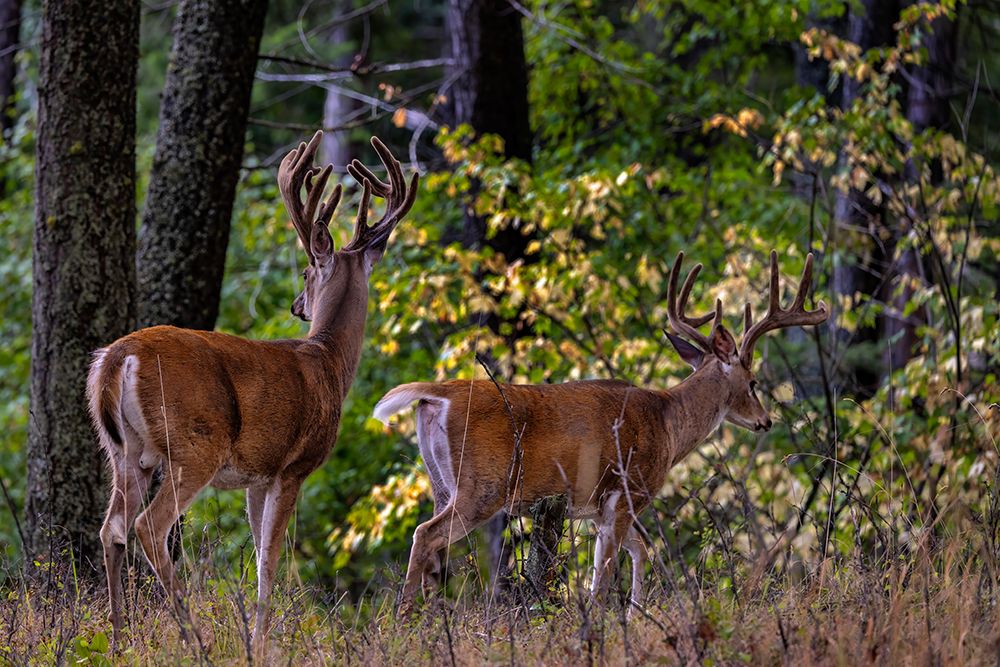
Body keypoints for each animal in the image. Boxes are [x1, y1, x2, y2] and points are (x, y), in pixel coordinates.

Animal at [86, 130, 418, 651]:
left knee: (112, 528)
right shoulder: (292, 467)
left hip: (125, 450)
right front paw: (259, 643)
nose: (298, 305)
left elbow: (260, 553)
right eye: (306, 271)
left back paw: (121, 640)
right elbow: (269, 560)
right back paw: (195, 639)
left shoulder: (256, 477)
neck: (329, 363)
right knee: (147, 526)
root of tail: (117, 358)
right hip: (193, 443)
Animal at [374, 250, 828, 614]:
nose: (765, 420)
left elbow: (638, 554)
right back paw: (404, 620)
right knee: (425, 534)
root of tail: (437, 393)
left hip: (440, 483)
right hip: (481, 486)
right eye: (753, 381)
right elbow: (605, 576)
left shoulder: (595, 507)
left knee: (433, 547)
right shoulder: (626, 492)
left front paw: (634, 615)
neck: (668, 423)